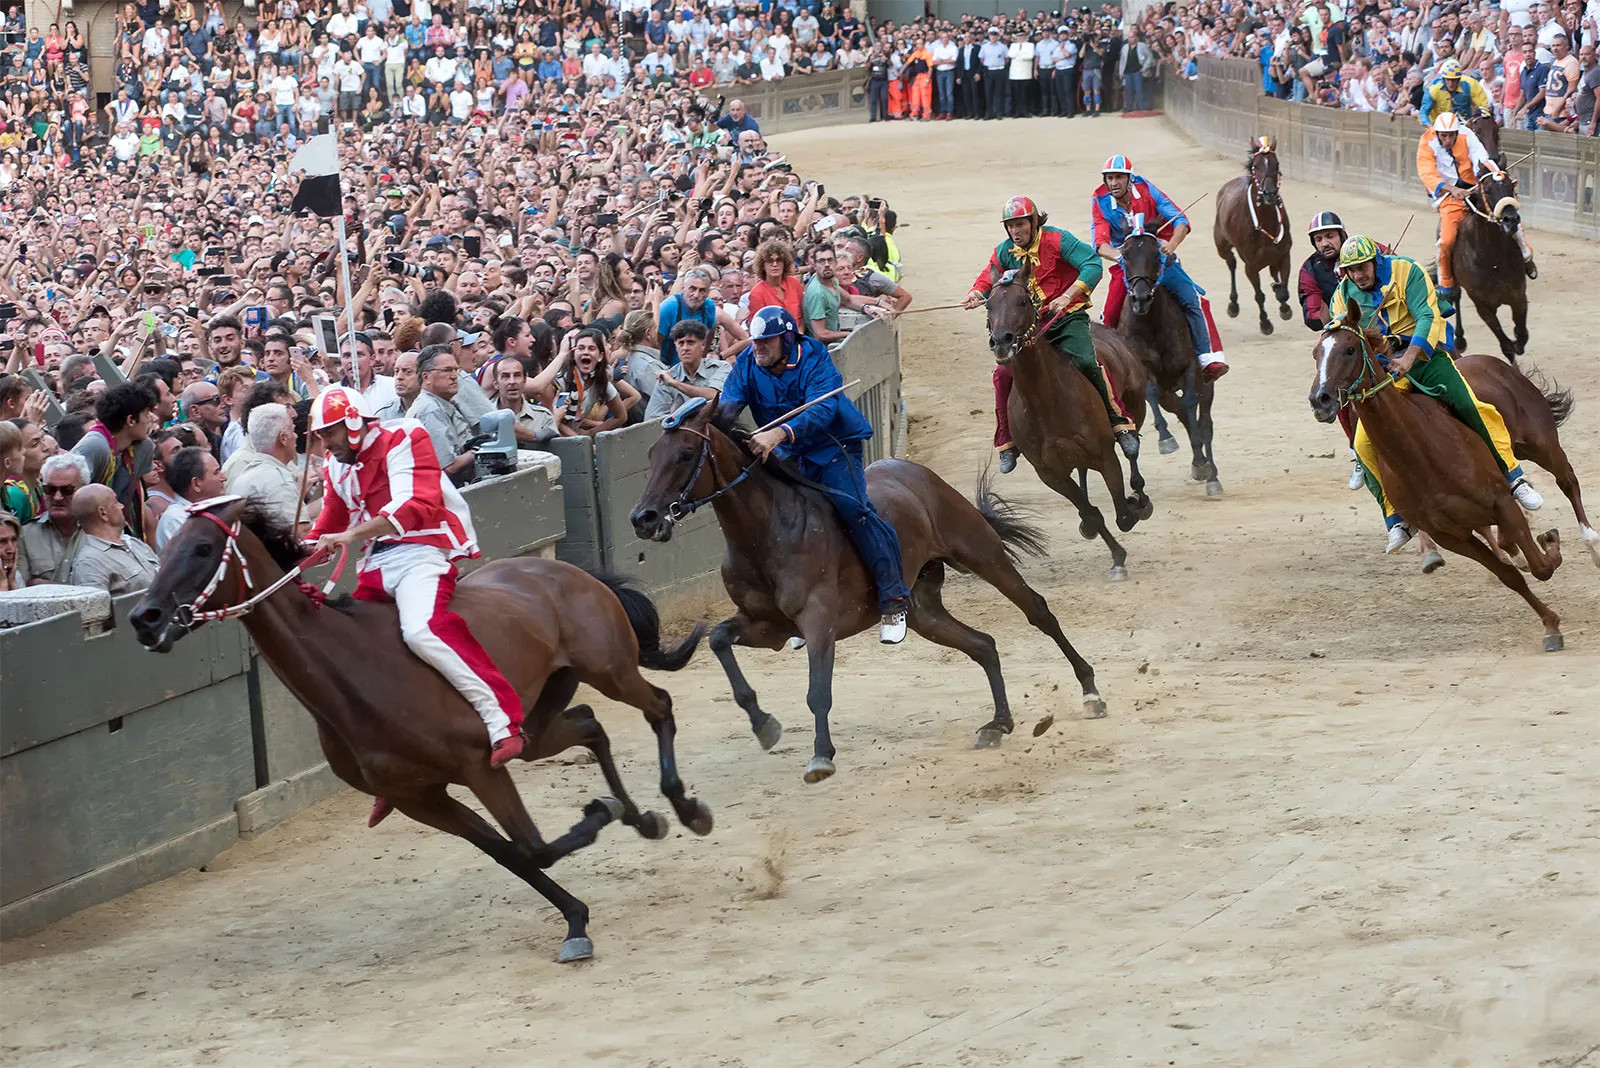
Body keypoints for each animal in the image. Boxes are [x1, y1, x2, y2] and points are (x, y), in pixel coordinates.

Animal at [134, 495, 710, 965]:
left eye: (202, 548)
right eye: (162, 548)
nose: (145, 616)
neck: (358, 671)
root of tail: (566, 570)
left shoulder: (480, 767)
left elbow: (533, 847)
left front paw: (599, 815)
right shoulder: (419, 796)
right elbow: (515, 853)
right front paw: (575, 919)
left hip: (609, 671)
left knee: (658, 706)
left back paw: (686, 809)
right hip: (539, 722)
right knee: (590, 725)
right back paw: (643, 818)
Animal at [630, 396, 1107, 780]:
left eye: (685, 453)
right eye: (650, 454)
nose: (643, 518)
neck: (767, 532)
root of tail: (917, 472)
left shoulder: (818, 622)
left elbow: (818, 691)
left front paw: (821, 756)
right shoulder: (768, 627)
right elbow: (717, 638)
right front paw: (763, 724)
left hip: (981, 552)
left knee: (1038, 612)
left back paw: (1090, 692)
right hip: (923, 609)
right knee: (983, 645)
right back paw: (999, 723)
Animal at [985, 259, 1152, 578]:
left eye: (1022, 301)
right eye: (989, 304)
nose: (1001, 341)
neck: (1046, 401)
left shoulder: (1104, 454)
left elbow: (1123, 514)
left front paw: (1133, 506)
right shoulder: (1049, 471)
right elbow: (1090, 512)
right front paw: (1116, 556)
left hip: (1135, 408)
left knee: (1132, 450)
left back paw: (1140, 494)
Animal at [1305, 321, 1580, 645]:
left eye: (1349, 349)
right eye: (1316, 353)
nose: (1320, 399)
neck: (1424, 455)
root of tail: (1494, 363)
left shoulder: (1501, 502)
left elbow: (1541, 566)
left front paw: (1549, 542)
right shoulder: (1451, 535)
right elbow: (1511, 576)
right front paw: (1550, 624)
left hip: (1542, 445)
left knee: (1568, 483)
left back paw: (1591, 544)